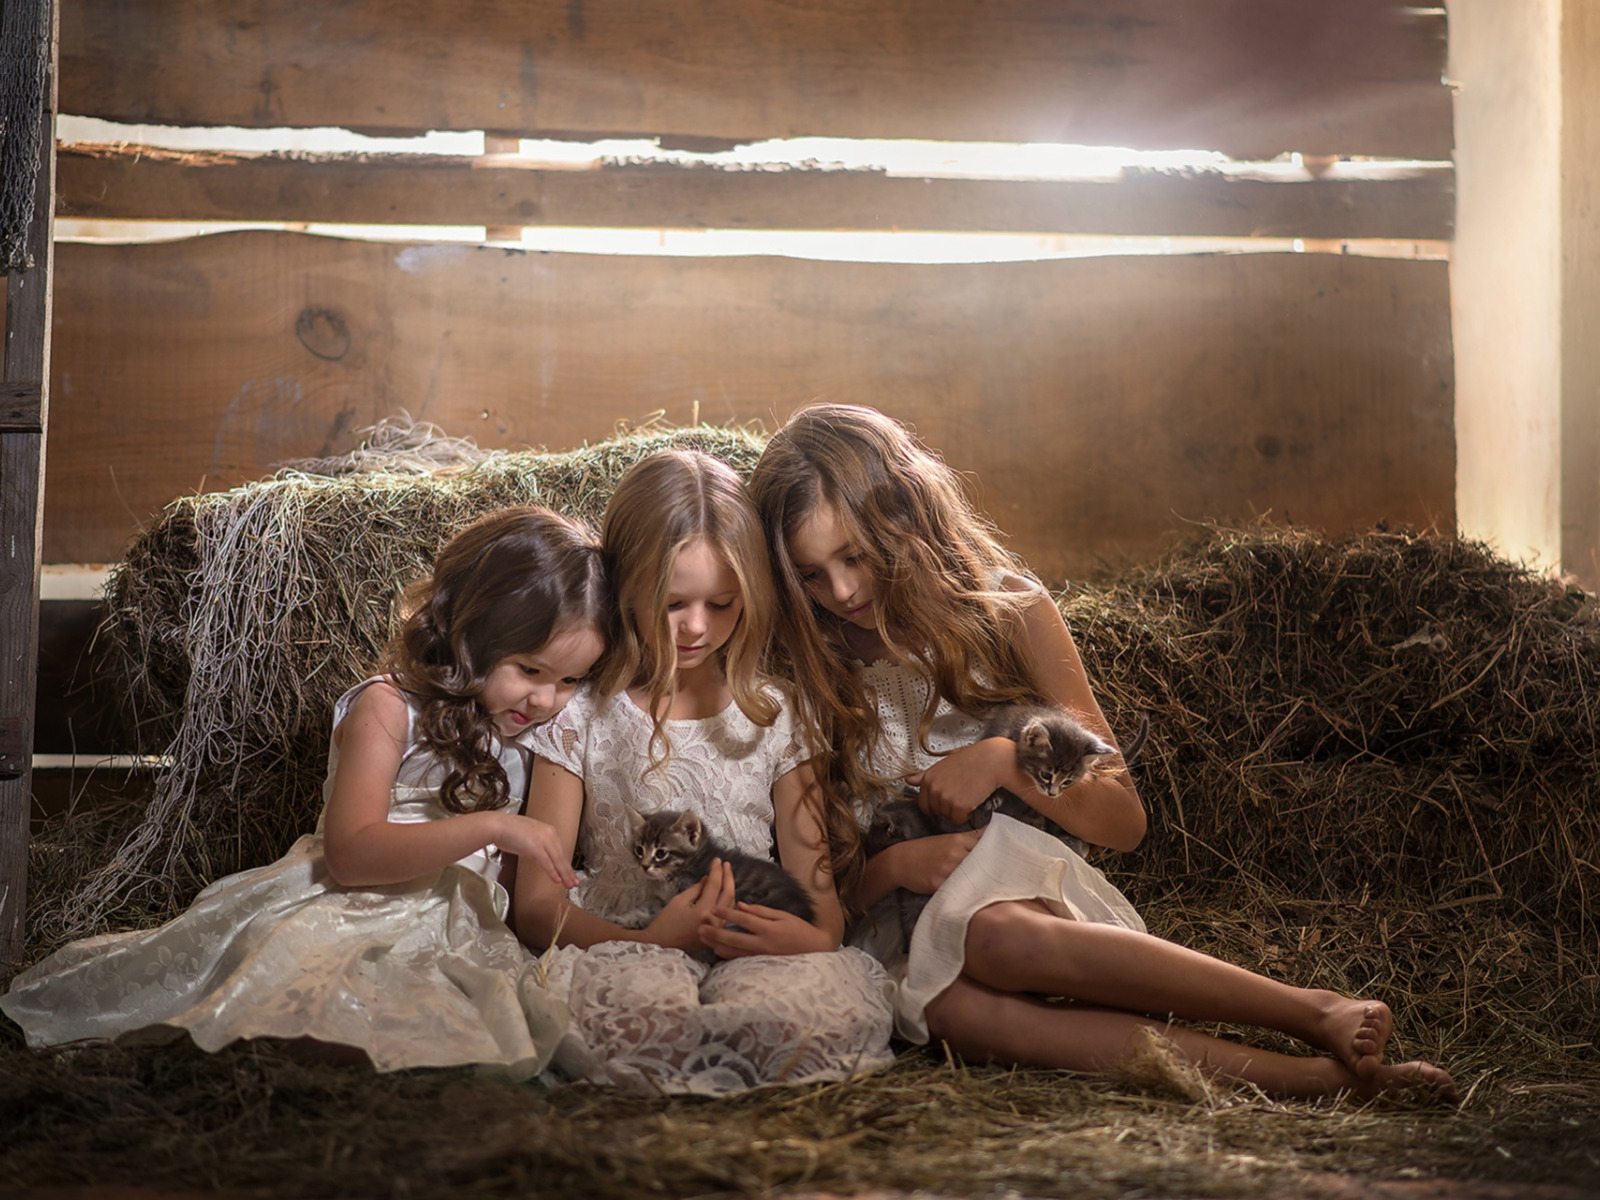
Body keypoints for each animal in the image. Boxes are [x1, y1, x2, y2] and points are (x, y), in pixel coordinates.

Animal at [624, 809, 819, 960]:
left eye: (661, 853)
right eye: (639, 850)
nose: (644, 866)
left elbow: (661, 914)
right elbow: (651, 907)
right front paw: (629, 917)